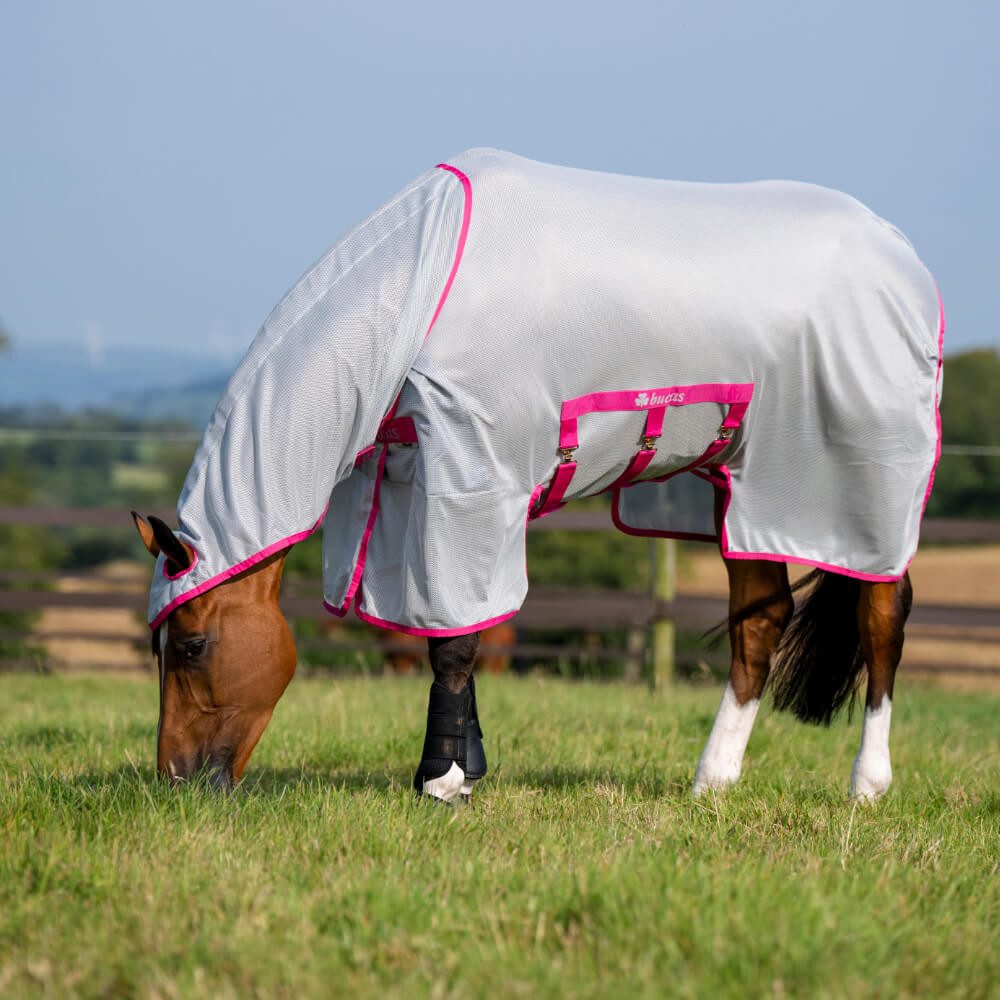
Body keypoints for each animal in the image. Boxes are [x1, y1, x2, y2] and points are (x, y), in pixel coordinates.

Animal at [133, 148, 942, 801]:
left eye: (193, 645)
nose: (176, 782)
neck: (422, 289)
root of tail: (903, 255)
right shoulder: (413, 487)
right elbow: (452, 629)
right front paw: (463, 768)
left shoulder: (473, 479)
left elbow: (457, 642)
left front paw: (442, 782)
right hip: (742, 491)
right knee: (760, 623)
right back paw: (712, 782)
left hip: (858, 483)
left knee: (882, 615)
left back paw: (867, 786)